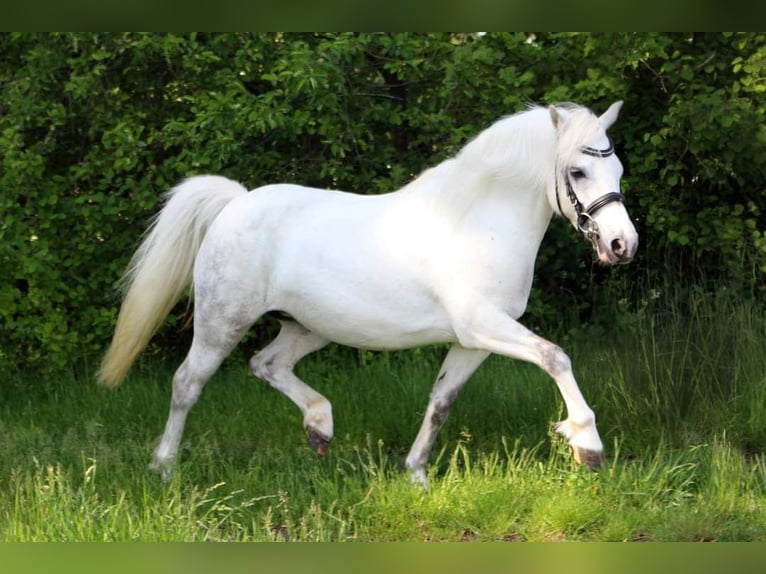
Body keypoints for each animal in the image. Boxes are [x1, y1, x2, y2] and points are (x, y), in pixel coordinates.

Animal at [102, 101, 640, 484]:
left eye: (617, 172)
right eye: (577, 172)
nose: (622, 245)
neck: (475, 221)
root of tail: (236, 202)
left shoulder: (472, 341)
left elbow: (442, 402)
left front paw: (416, 474)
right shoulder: (483, 325)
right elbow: (555, 357)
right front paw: (586, 443)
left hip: (309, 327)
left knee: (266, 364)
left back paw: (319, 427)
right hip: (222, 320)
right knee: (187, 382)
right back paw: (164, 468)